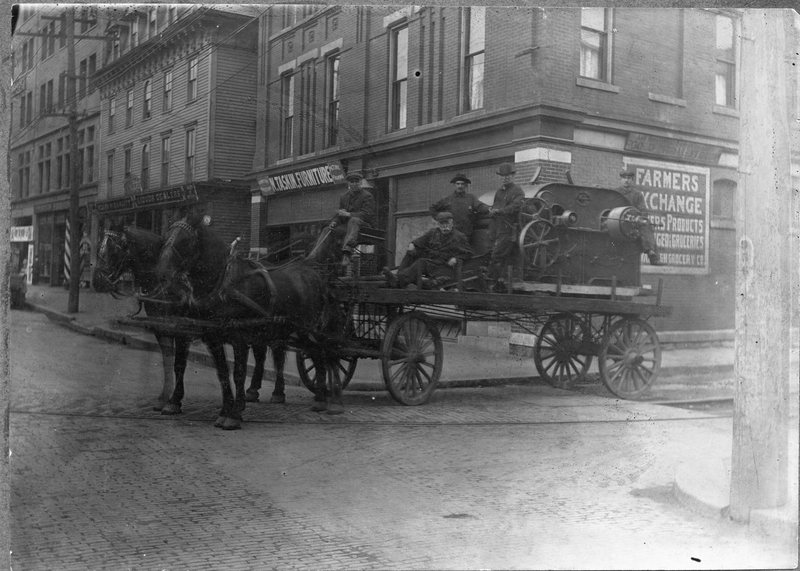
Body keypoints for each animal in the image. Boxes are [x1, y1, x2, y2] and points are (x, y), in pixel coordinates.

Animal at [94, 225, 288, 416]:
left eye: (114, 248)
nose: (98, 281)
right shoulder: (162, 328)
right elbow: (167, 361)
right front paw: (163, 398)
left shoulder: (182, 330)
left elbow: (179, 364)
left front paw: (174, 401)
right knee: (261, 353)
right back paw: (252, 391)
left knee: (277, 353)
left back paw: (277, 392)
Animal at [155, 218, 346, 428]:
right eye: (165, 238)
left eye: (185, 241)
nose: (161, 272)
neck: (223, 284)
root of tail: (313, 271)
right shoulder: (212, 337)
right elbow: (221, 373)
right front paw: (224, 410)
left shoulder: (238, 336)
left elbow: (238, 373)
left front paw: (234, 414)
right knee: (300, 356)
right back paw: (305, 396)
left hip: (310, 330)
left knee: (325, 354)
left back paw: (328, 399)